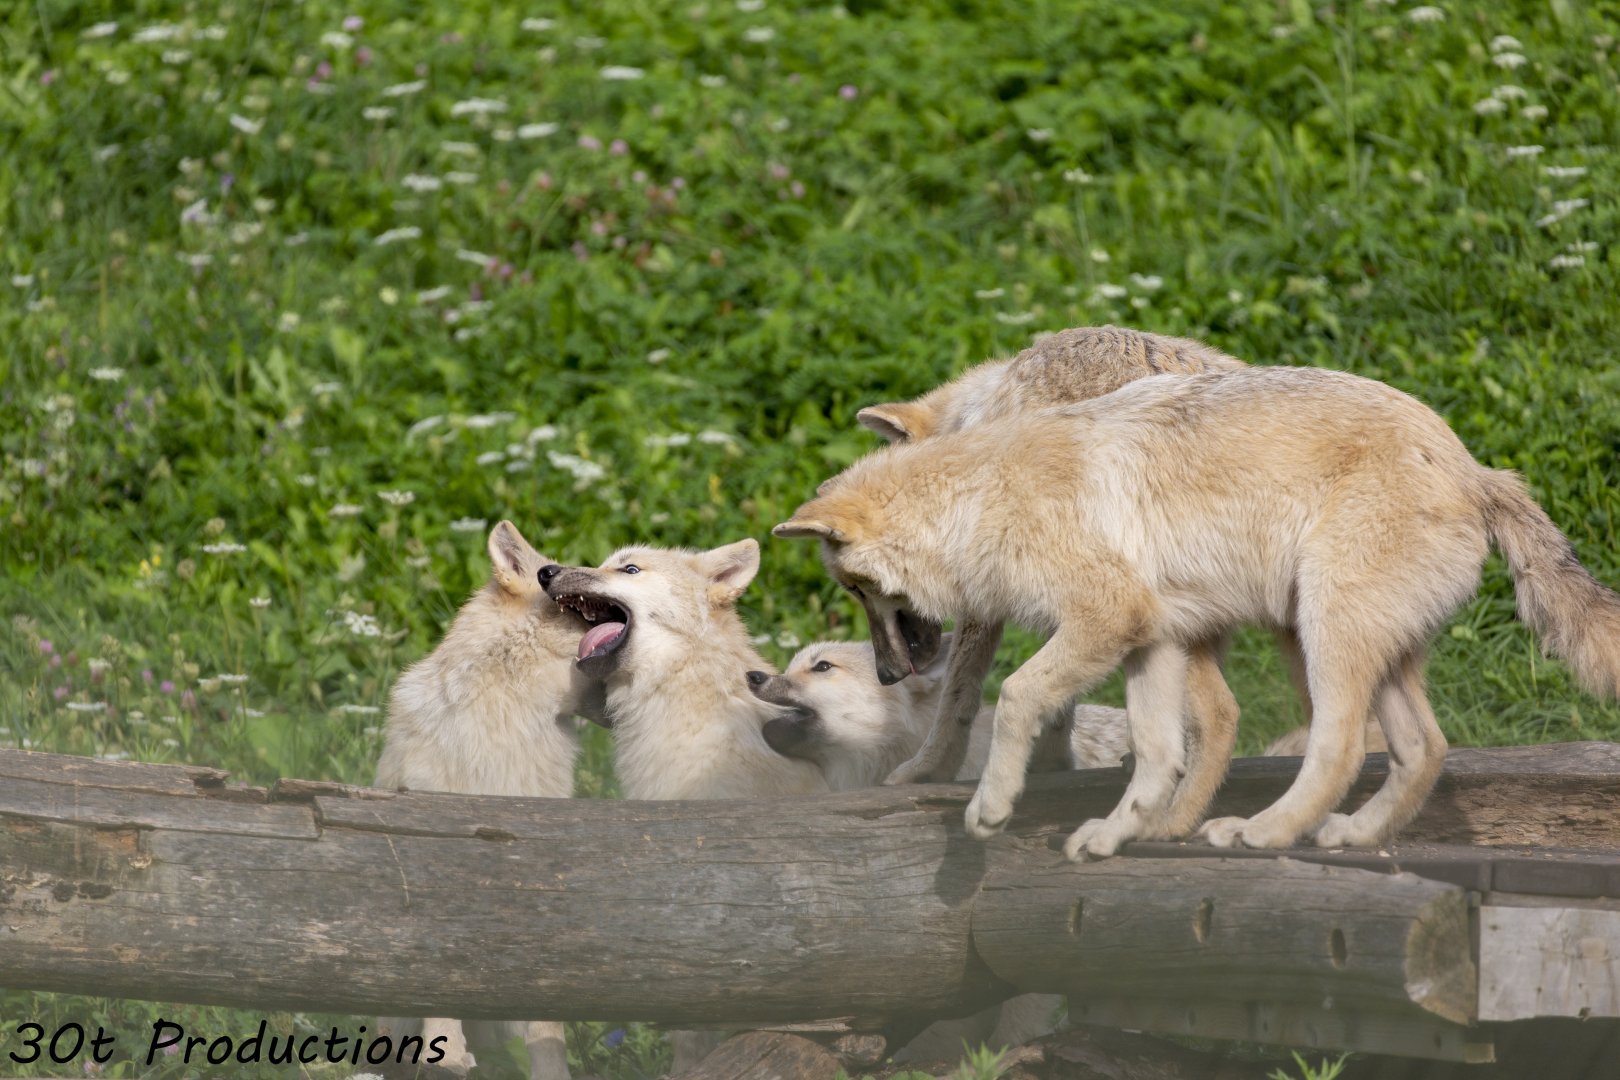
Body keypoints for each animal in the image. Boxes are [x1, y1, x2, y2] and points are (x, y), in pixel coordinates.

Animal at [777, 366, 1620, 856]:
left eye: (855, 590)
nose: (889, 676)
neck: (981, 500)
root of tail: (1476, 469)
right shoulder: (1152, 642)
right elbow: (1157, 757)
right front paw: (1119, 833)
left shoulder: (1103, 620)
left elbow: (1015, 696)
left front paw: (991, 807)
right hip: (1360, 650)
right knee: (1424, 749)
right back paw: (1347, 835)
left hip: (1322, 634)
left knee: (1340, 748)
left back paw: (1262, 832)